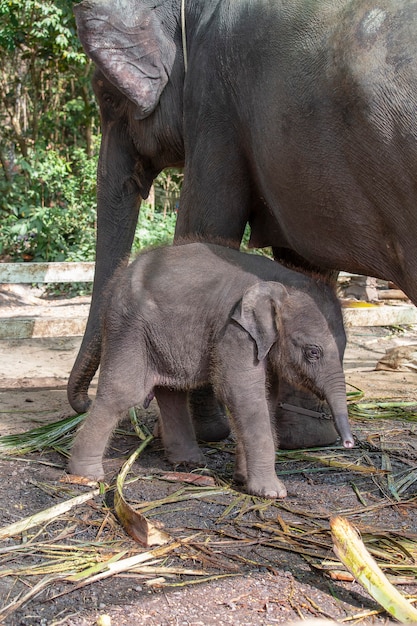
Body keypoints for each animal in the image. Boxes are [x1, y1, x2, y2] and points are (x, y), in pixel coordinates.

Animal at [67, 0, 416, 448]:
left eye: (109, 97)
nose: (81, 404)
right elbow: (303, 266)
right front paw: (306, 440)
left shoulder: (214, 102)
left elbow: (205, 224)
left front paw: (198, 433)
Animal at [67, 241, 352, 494]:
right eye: (313, 352)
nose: (348, 444)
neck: (280, 281)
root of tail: (119, 278)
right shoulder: (234, 331)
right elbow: (241, 394)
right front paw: (272, 492)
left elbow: (266, 398)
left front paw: (243, 479)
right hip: (129, 327)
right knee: (124, 392)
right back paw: (87, 476)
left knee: (172, 391)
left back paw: (187, 462)